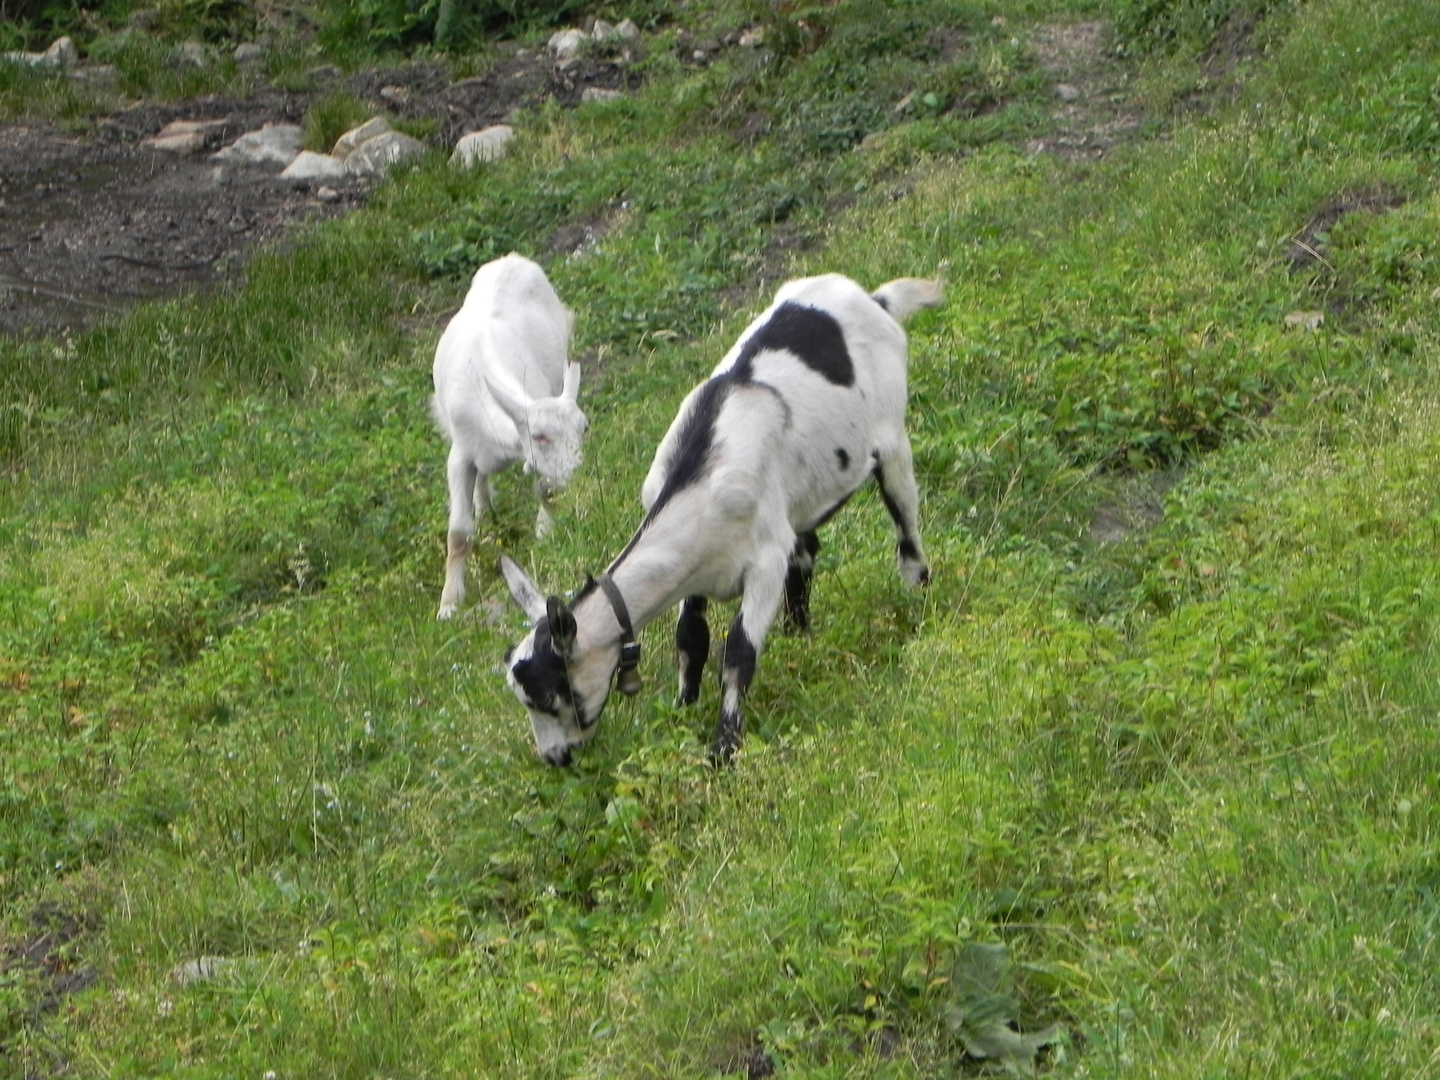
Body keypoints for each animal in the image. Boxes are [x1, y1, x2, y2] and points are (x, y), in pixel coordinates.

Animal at [429, 253, 587, 622]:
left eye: (584, 429)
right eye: (540, 436)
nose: (575, 480)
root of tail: (511, 258)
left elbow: (543, 491)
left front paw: (545, 532)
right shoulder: (460, 454)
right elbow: (458, 533)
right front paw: (449, 604)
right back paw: (484, 508)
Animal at [498, 270, 944, 766]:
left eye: (548, 697)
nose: (555, 757)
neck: (700, 482)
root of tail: (874, 299)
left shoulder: (764, 561)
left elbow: (738, 653)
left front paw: (723, 749)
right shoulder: (695, 569)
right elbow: (690, 640)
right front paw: (681, 711)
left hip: (891, 437)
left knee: (906, 525)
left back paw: (917, 599)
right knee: (807, 549)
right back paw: (798, 636)